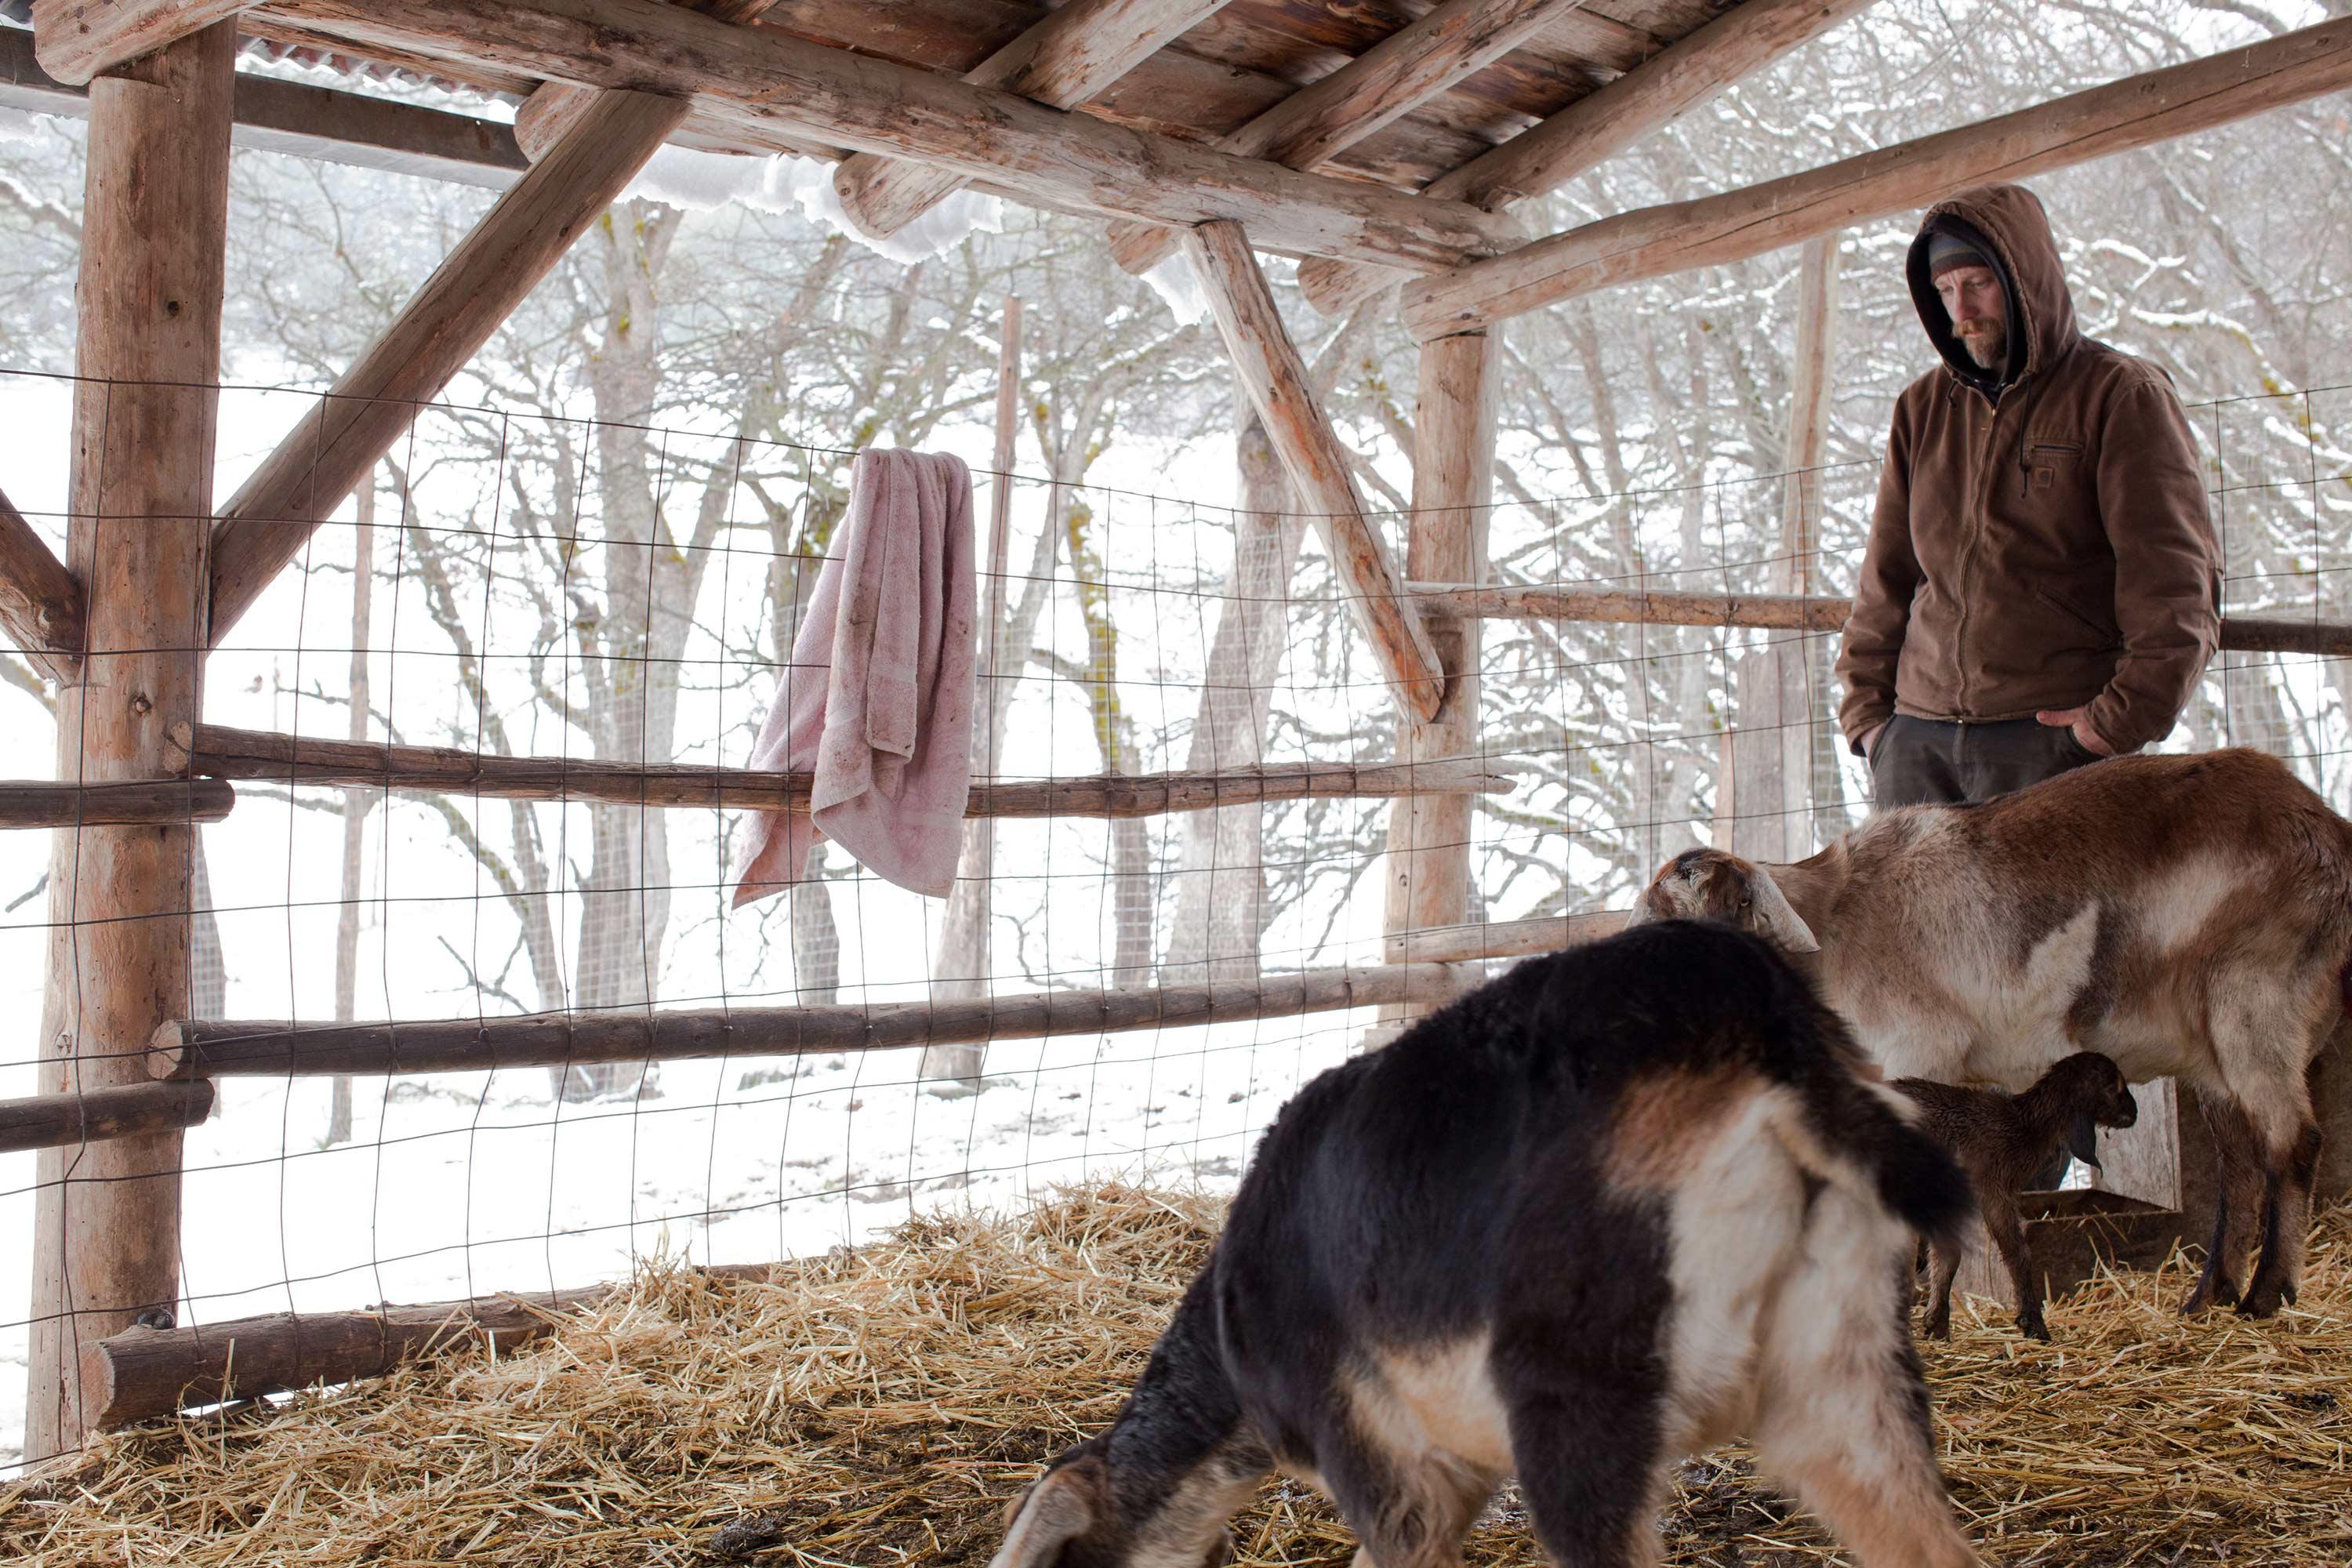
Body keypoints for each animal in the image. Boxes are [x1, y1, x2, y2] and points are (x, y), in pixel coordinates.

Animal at [1891, 1053, 2136, 1335]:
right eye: (2114, 1085)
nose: (2135, 1112)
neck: (2025, 1124)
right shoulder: (1994, 1187)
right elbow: (2017, 1252)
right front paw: (2034, 1324)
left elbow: (1947, 1257)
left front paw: (1937, 1324)